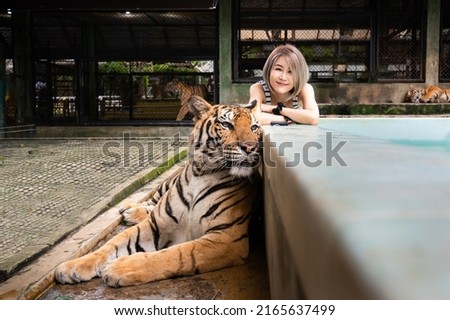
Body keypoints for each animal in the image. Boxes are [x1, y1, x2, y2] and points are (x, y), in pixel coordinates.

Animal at [54, 95, 262, 288]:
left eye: (254, 128)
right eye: (226, 124)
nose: (251, 147)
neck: (202, 174)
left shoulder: (227, 238)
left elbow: (177, 254)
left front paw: (121, 268)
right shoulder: (154, 225)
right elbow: (111, 244)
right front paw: (71, 266)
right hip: (165, 185)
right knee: (152, 202)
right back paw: (129, 209)